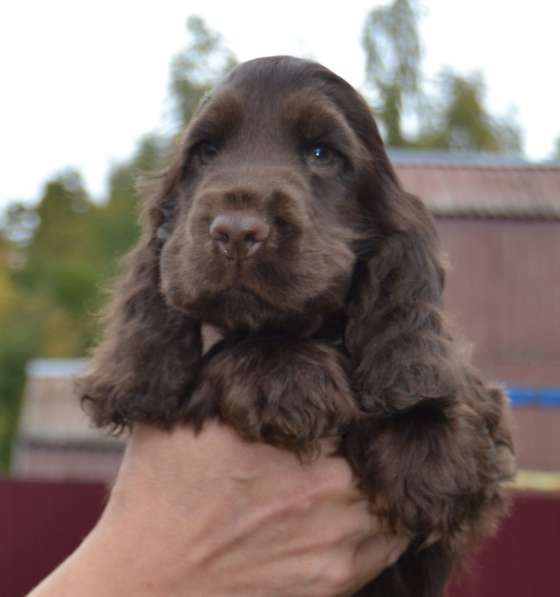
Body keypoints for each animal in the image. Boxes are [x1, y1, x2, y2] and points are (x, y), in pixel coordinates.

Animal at [80, 57, 516, 596]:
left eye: (321, 154)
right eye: (205, 152)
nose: (236, 232)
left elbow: (438, 380)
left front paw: (431, 460)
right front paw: (282, 376)